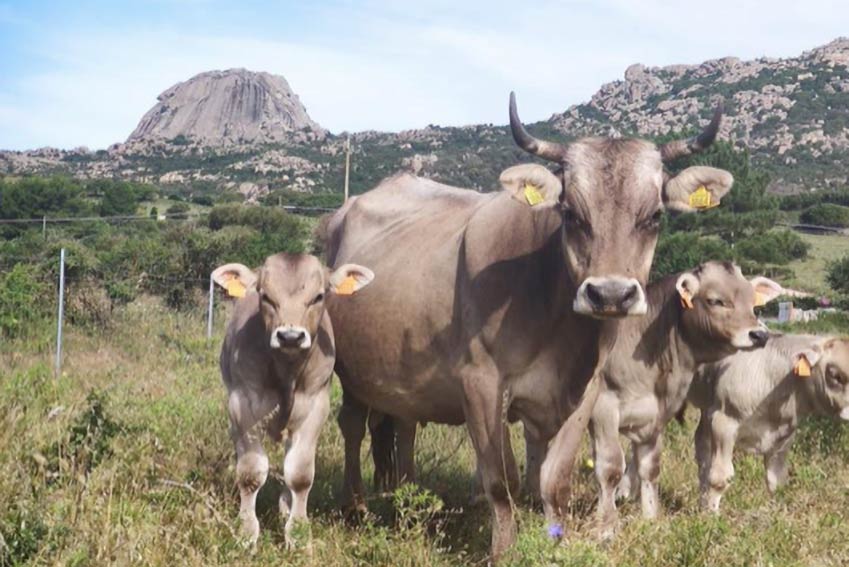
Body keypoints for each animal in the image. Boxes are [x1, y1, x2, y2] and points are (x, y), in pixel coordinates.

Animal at [211, 255, 372, 548]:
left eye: (318, 296)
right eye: (265, 296)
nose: (290, 337)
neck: (286, 373)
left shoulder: (315, 408)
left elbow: (299, 474)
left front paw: (297, 532)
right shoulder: (242, 406)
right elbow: (250, 472)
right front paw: (246, 531)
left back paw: (287, 506)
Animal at [322, 92, 732, 560]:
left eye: (655, 216)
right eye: (570, 213)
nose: (610, 294)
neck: (560, 328)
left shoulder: (586, 392)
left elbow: (555, 479)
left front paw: (556, 539)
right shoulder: (481, 384)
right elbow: (502, 481)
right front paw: (503, 550)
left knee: (399, 426)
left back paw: (402, 493)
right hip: (351, 370)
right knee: (353, 426)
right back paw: (356, 504)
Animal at [588, 262, 780, 536]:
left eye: (753, 303)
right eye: (716, 300)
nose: (760, 335)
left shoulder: (656, 415)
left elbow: (650, 467)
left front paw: (650, 519)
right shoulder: (603, 409)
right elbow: (609, 468)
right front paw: (606, 529)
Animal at [684, 332, 848, 516]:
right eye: (836, 376)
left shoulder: (784, 434)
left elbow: (776, 480)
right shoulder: (723, 421)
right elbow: (720, 476)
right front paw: (711, 516)